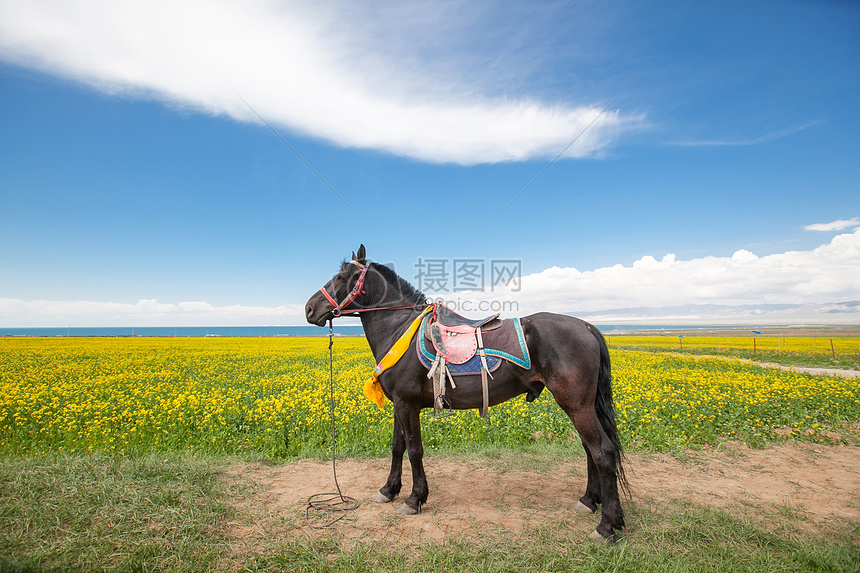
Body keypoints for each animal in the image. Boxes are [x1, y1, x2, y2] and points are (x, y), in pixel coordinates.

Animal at [306, 245, 628, 540]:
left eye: (342, 276)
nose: (309, 308)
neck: (400, 329)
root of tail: (586, 326)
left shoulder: (408, 404)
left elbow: (414, 450)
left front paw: (415, 498)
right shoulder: (399, 403)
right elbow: (397, 447)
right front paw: (388, 490)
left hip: (576, 405)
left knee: (602, 451)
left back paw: (608, 525)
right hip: (580, 406)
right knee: (590, 449)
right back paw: (589, 501)